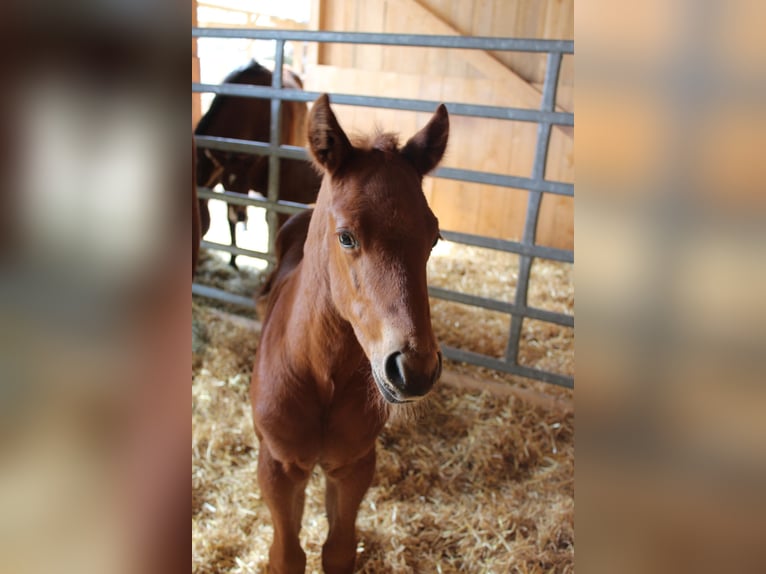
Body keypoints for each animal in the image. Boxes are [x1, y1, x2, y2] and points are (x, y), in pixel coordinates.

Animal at [250, 94, 449, 573]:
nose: (413, 369)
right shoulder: (278, 467)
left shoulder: (355, 464)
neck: (319, 373)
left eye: (434, 237)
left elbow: (338, 550)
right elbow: (287, 555)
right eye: (346, 237)